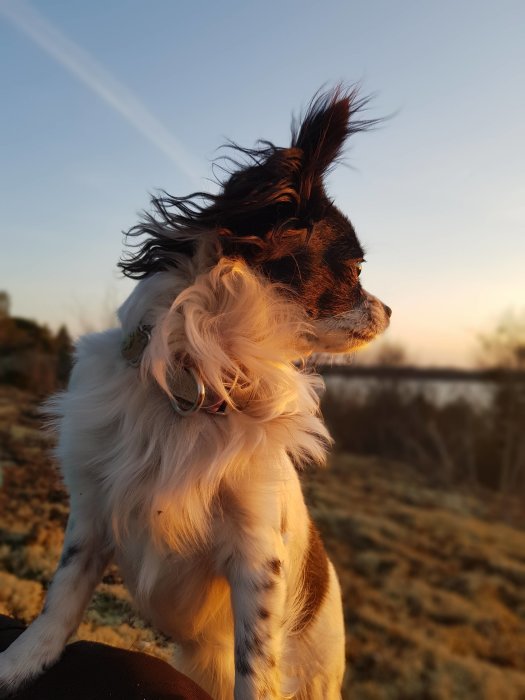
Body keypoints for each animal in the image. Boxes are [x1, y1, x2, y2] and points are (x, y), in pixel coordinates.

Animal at [0, 87, 388, 700]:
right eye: (353, 271)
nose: (389, 311)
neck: (196, 386)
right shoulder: (92, 509)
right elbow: (63, 594)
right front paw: (20, 662)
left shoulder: (255, 556)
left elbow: (256, 664)